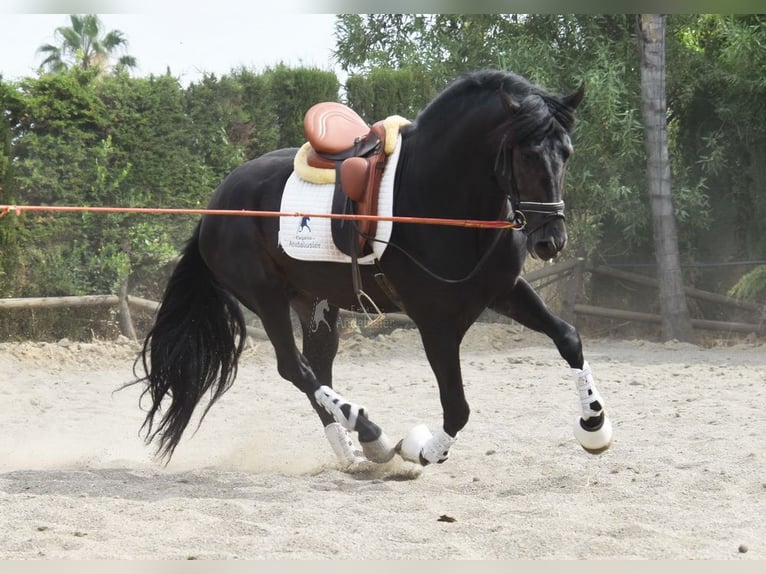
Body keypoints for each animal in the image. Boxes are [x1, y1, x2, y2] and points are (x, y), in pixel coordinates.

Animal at [132, 69, 613, 470]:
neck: (442, 197)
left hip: (314, 302)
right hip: (266, 297)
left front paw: (594, 425)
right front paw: (425, 451)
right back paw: (371, 433)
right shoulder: (435, 323)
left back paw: (352, 452)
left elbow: (568, 338)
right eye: (526, 155)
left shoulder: (504, 290)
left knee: (315, 367)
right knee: (295, 368)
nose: (551, 240)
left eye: (566, 153)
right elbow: (457, 407)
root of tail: (215, 204)